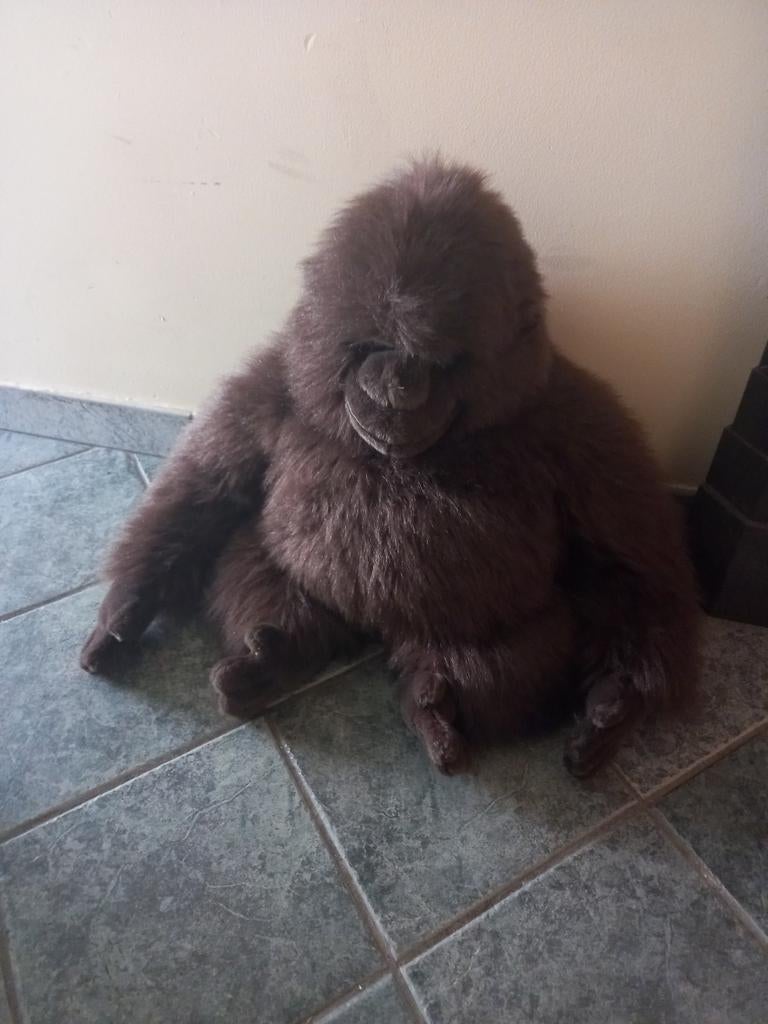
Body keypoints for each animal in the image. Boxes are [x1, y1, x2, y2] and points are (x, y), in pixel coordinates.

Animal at [81, 158, 700, 777]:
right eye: (373, 343)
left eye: (437, 360)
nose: (396, 386)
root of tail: (374, 628)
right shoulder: (271, 384)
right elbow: (204, 487)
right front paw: (125, 613)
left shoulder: (583, 426)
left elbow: (631, 567)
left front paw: (620, 702)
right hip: (286, 574)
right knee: (257, 579)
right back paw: (269, 658)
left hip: (483, 627)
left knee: (504, 665)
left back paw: (435, 707)